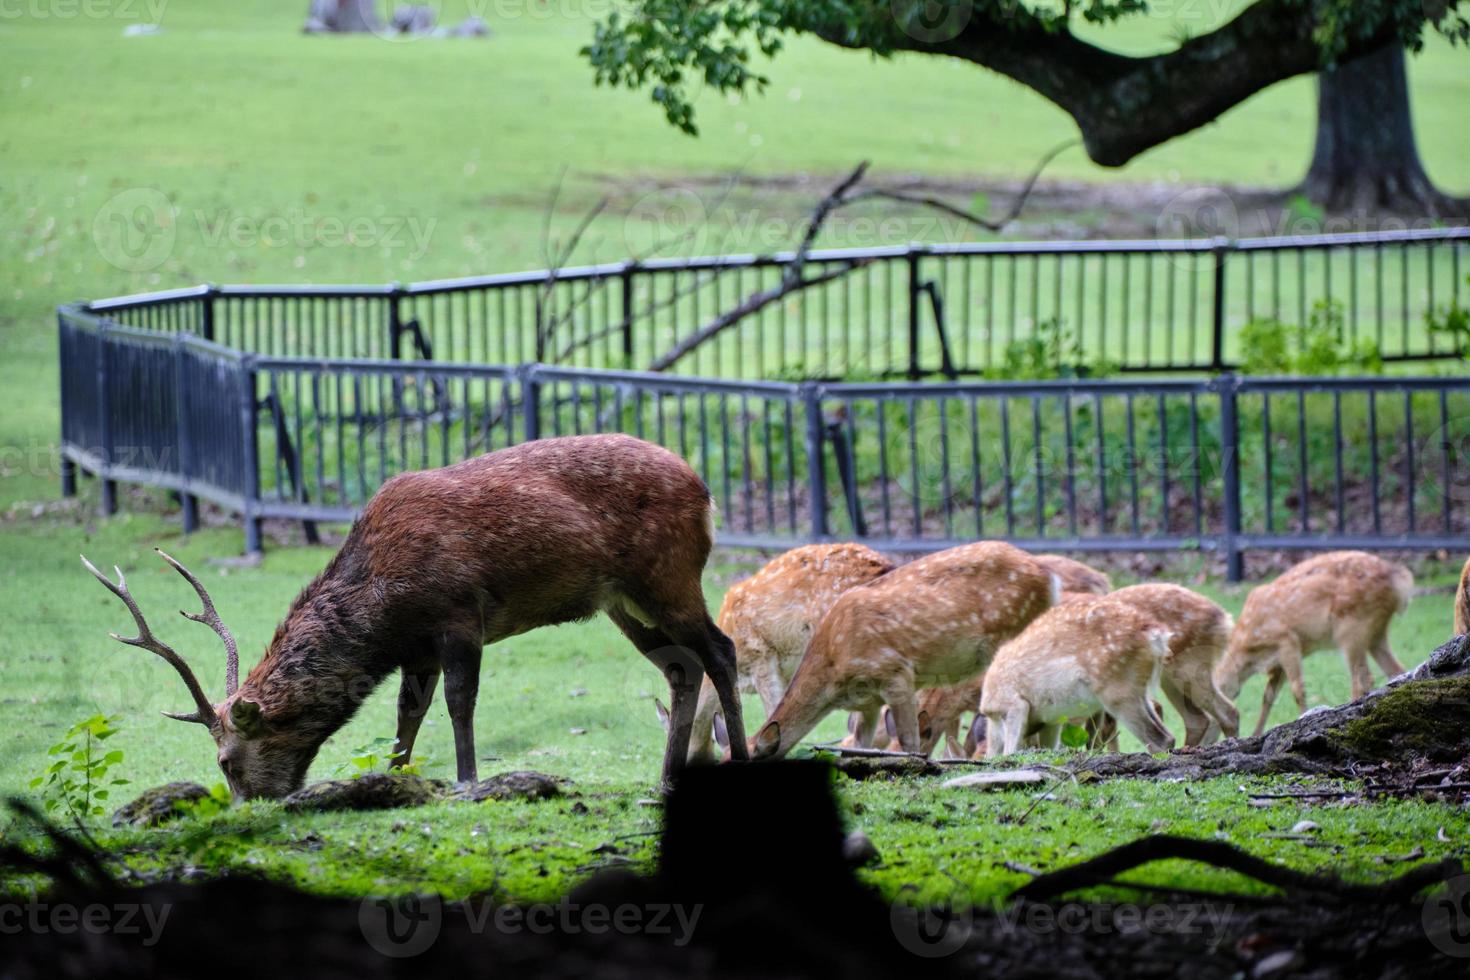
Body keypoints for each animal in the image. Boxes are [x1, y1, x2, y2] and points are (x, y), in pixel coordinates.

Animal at [80, 434, 746, 799]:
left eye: (224, 760)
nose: (251, 807)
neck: (383, 610)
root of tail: (706, 491)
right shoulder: (416, 649)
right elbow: (407, 717)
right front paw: (391, 781)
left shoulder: (459, 617)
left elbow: (458, 704)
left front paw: (467, 781)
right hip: (622, 603)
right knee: (681, 669)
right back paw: (666, 777)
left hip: (668, 575)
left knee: (721, 650)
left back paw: (740, 758)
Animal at [746, 543, 1058, 758]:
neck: (833, 667)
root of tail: (1048, 576)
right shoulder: (867, 701)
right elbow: (859, 744)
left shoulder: (895, 672)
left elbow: (910, 741)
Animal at [981, 593, 1176, 758]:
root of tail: (1156, 638)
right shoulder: (1051, 720)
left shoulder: (1014, 705)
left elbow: (1010, 751)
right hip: (1136, 688)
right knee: (1168, 735)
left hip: (1117, 690)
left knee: (1158, 739)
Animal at [1211, 552, 1417, 734]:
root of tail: (1399, 581)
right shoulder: (1277, 664)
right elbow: (1268, 696)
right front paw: (1256, 733)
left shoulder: (1287, 641)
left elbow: (1298, 689)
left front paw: (1303, 718)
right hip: (1376, 632)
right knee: (1395, 670)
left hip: (1352, 626)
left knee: (1363, 678)